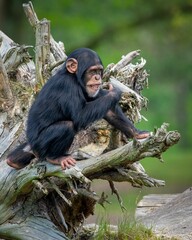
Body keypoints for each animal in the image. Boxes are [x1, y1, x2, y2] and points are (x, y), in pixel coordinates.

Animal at [6, 47, 149, 170]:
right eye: (92, 71)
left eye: (99, 71)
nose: (97, 77)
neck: (74, 78)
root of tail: (32, 146)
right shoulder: (66, 86)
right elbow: (79, 115)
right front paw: (114, 92)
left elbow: (109, 111)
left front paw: (137, 133)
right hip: (39, 146)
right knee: (66, 126)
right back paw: (55, 157)